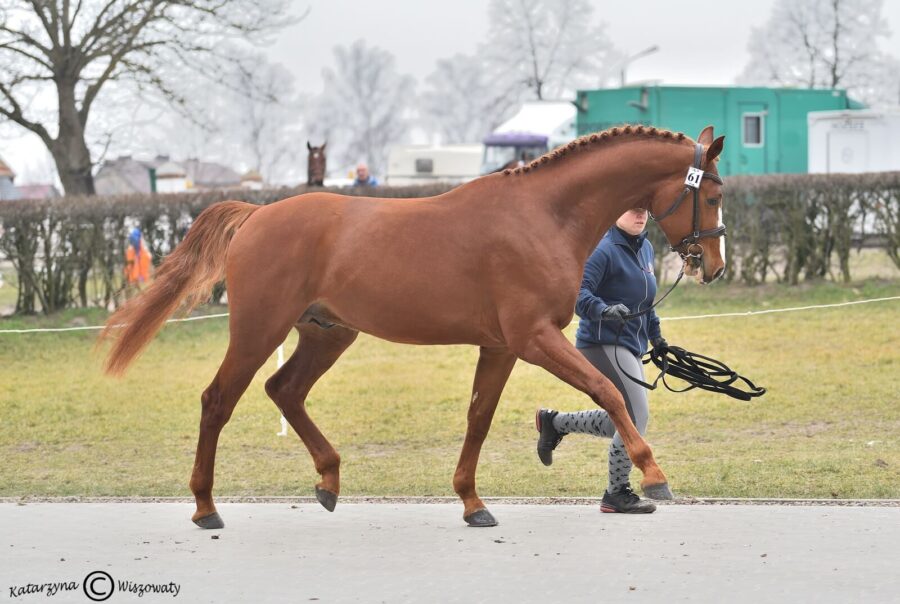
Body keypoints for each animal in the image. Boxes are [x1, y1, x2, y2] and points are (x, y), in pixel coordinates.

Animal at [102, 126, 728, 528]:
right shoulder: (534, 339)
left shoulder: (500, 347)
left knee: (285, 389)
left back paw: (328, 481)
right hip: (259, 330)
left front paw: (472, 503)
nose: (714, 266)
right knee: (218, 400)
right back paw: (206, 508)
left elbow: (478, 419)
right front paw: (653, 473)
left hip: (328, 332)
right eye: (716, 193)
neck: (543, 216)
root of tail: (256, 215)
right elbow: (608, 392)